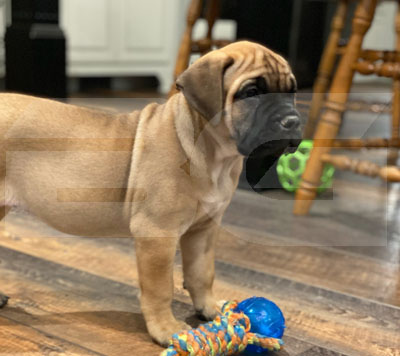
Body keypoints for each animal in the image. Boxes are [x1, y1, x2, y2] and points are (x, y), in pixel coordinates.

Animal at [0, 41, 300, 344]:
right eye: (251, 93)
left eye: (292, 91)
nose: (292, 121)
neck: (213, 154)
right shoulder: (157, 234)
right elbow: (160, 288)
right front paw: (166, 329)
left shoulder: (203, 230)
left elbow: (202, 273)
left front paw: (210, 309)